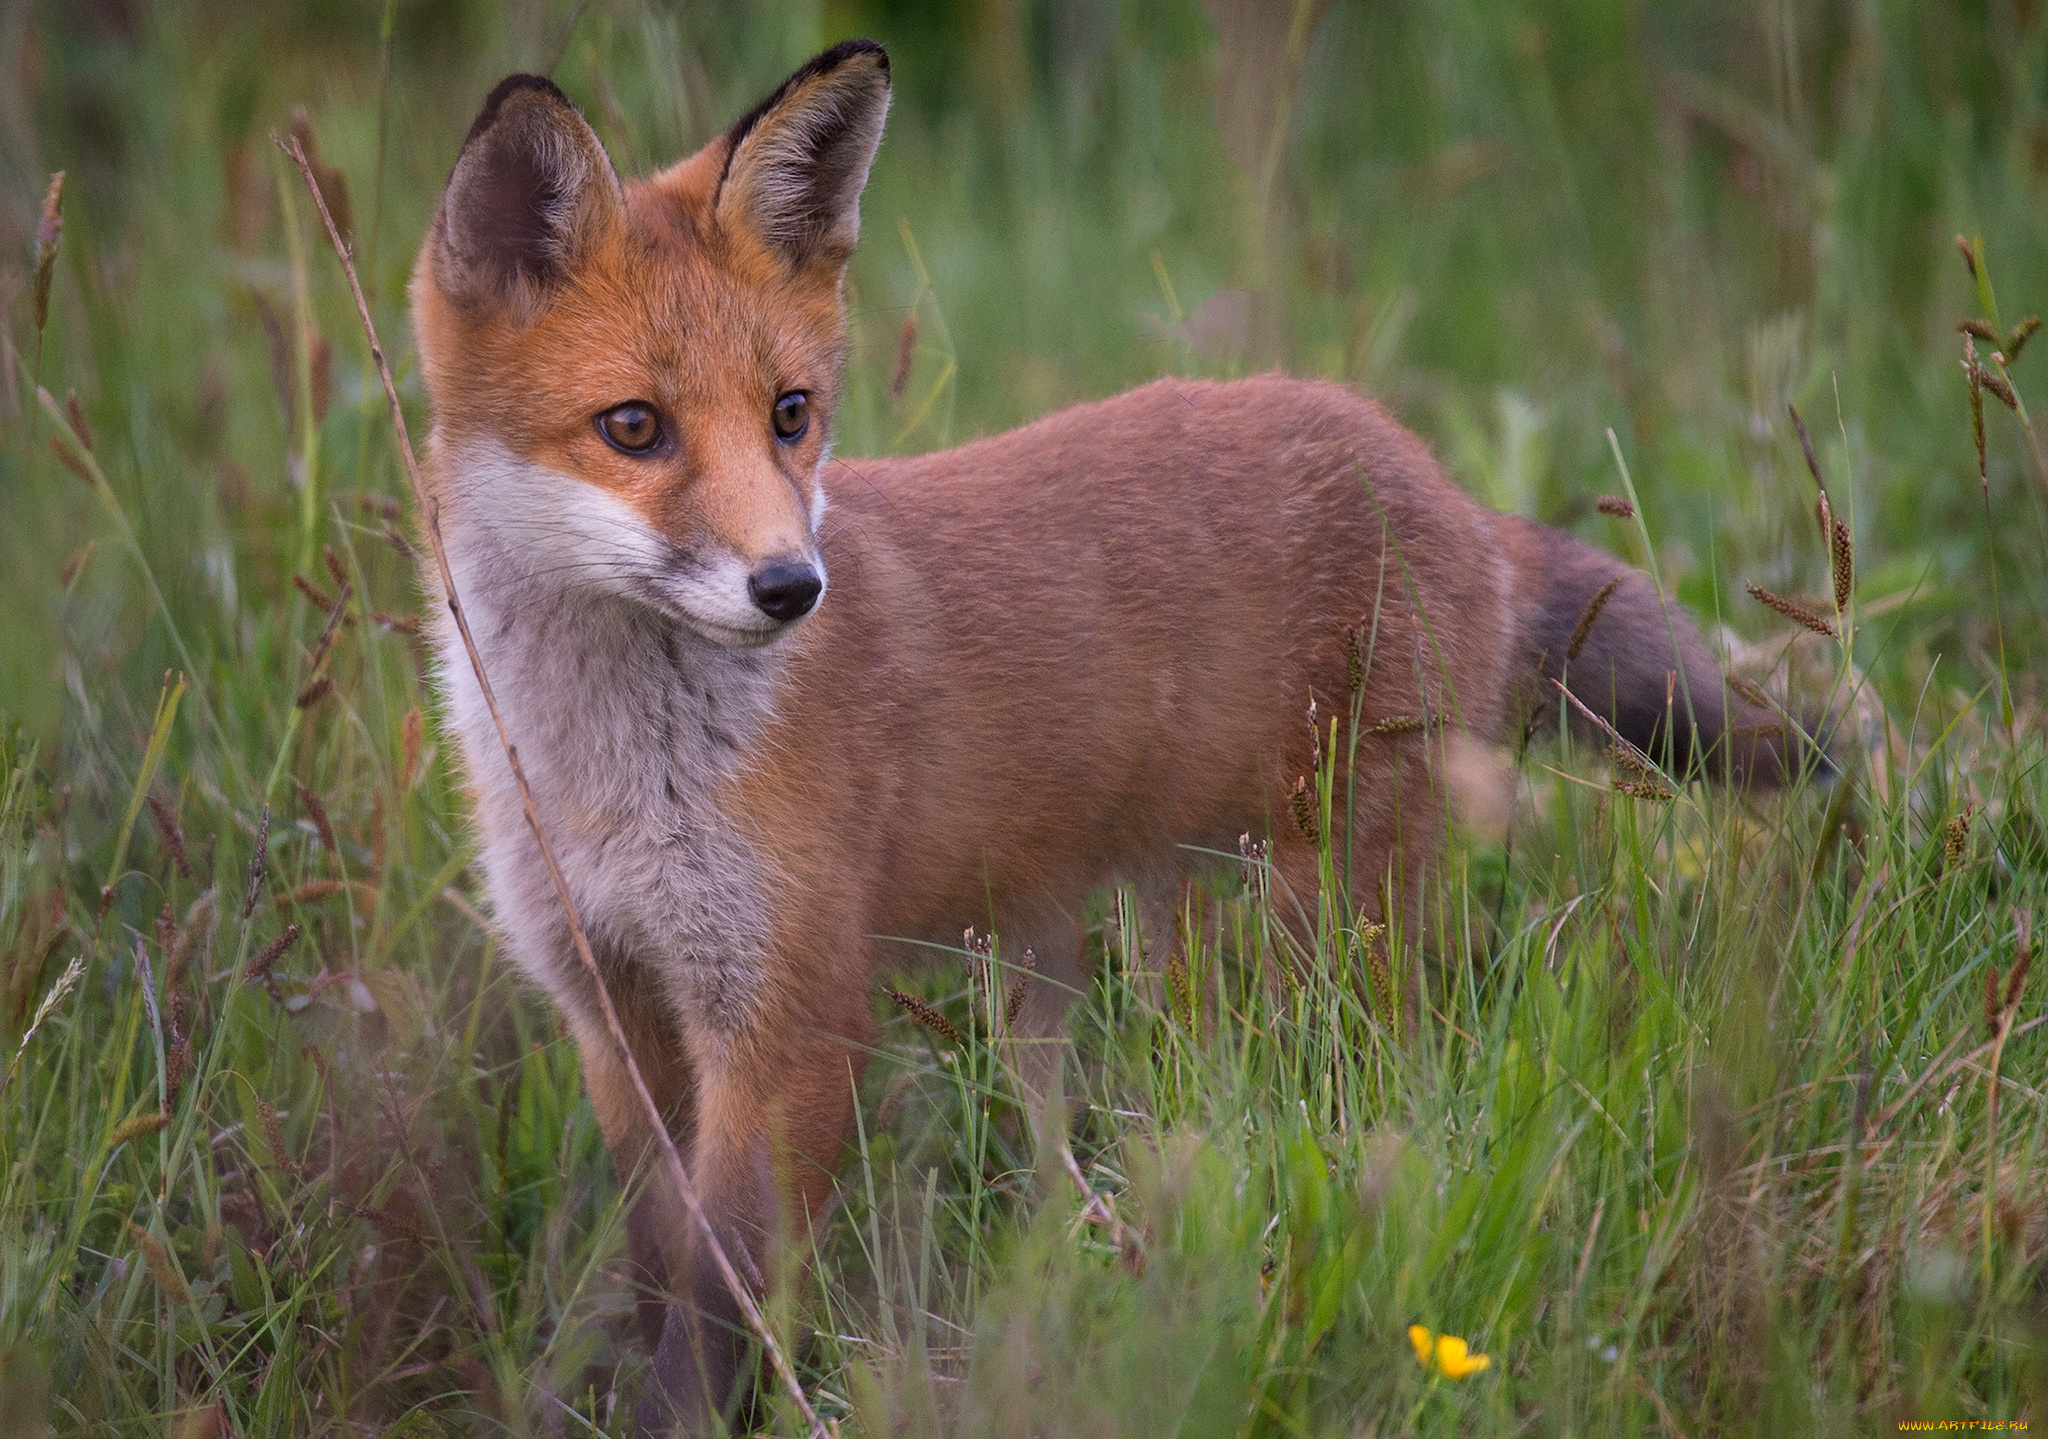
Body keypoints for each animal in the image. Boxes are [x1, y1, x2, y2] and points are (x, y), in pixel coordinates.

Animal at [407, 39, 1818, 1432]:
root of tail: (1442, 482)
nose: (791, 588)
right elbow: (661, 1268)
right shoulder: (613, 1008)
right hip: (1166, 919)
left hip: (1330, 918)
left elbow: (719, 1302)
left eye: (789, 414)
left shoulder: (791, 1017)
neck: (610, 783)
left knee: (1376, 1077)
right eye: (633, 427)